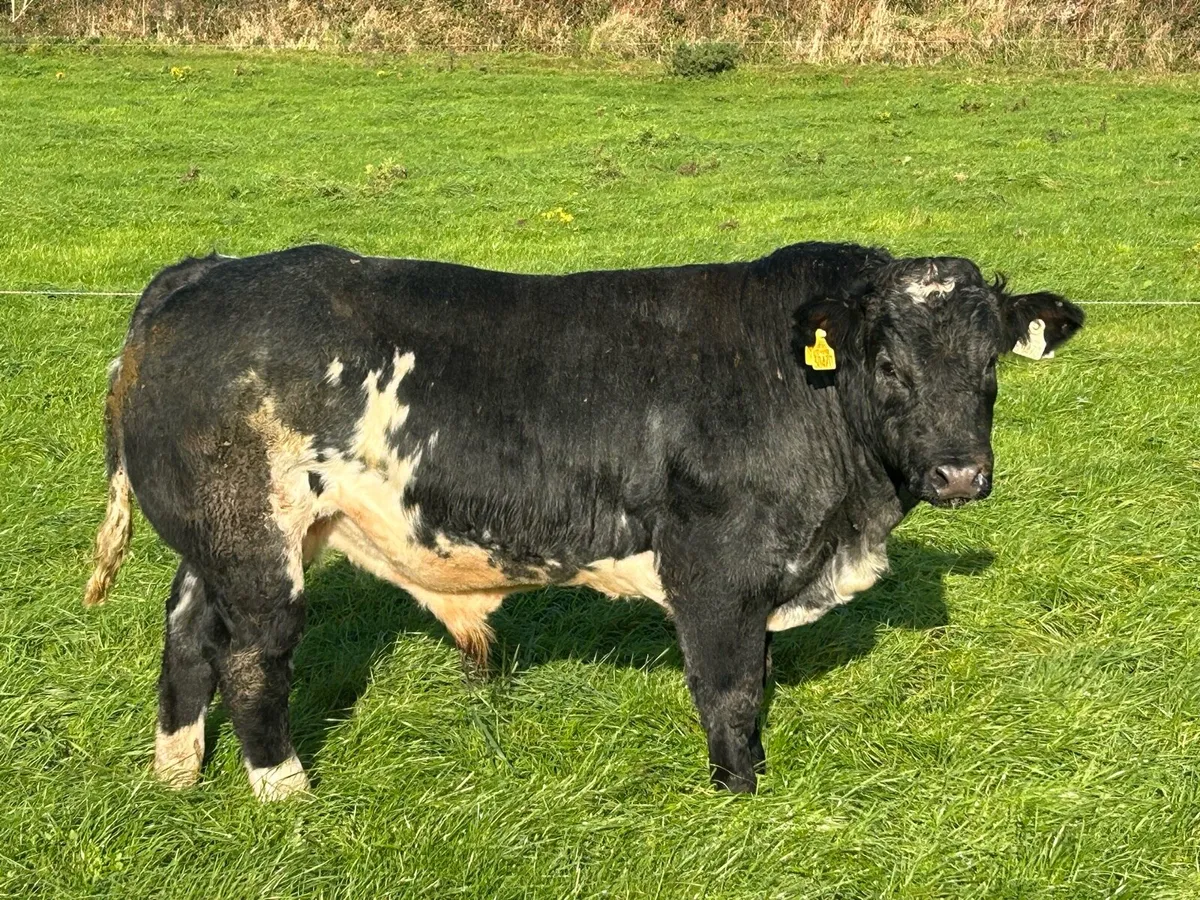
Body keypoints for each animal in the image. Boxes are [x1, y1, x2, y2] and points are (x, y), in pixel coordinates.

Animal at [83, 241, 1083, 800]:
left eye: (990, 361)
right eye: (887, 363)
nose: (960, 473)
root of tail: (210, 273)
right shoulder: (716, 569)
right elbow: (731, 687)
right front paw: (742, 790)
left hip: (219, 544)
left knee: (186, 633)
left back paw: (176, 773)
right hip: (257, 544)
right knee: (252, 656)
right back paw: (283, 790)